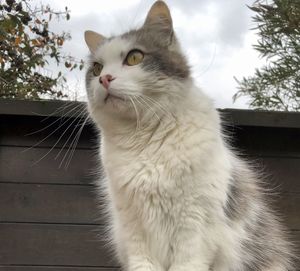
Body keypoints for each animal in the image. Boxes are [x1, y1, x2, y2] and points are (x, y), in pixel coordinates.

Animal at [84, 1, 296, 270]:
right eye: (96, 68)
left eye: (134, 57)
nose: (104, 78)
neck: (144, 137)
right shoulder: (132, 226)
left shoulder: (194, 223)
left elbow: (187, 260)